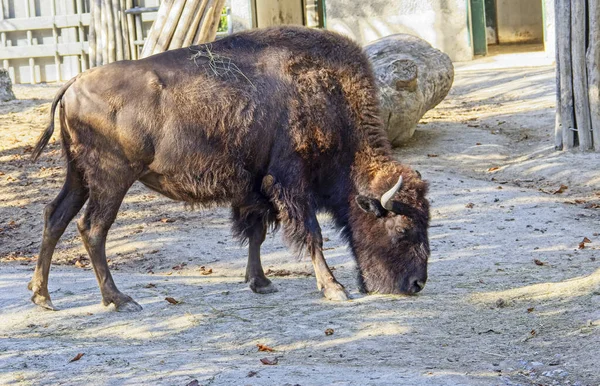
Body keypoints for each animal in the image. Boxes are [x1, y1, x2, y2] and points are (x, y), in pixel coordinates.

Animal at [29, 26, 432, 310]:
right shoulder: (290, 183)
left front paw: (261, 282)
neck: (326, 93)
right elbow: (311, 234)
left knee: (55, 216)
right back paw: (119, 300)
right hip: (111, 180)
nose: (417, 284)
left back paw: (43, 296)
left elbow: (256, 233)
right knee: (93, 228)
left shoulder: (255, 188)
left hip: (79, 177)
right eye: (402, 230)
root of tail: (74, 83)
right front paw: (334, 289)